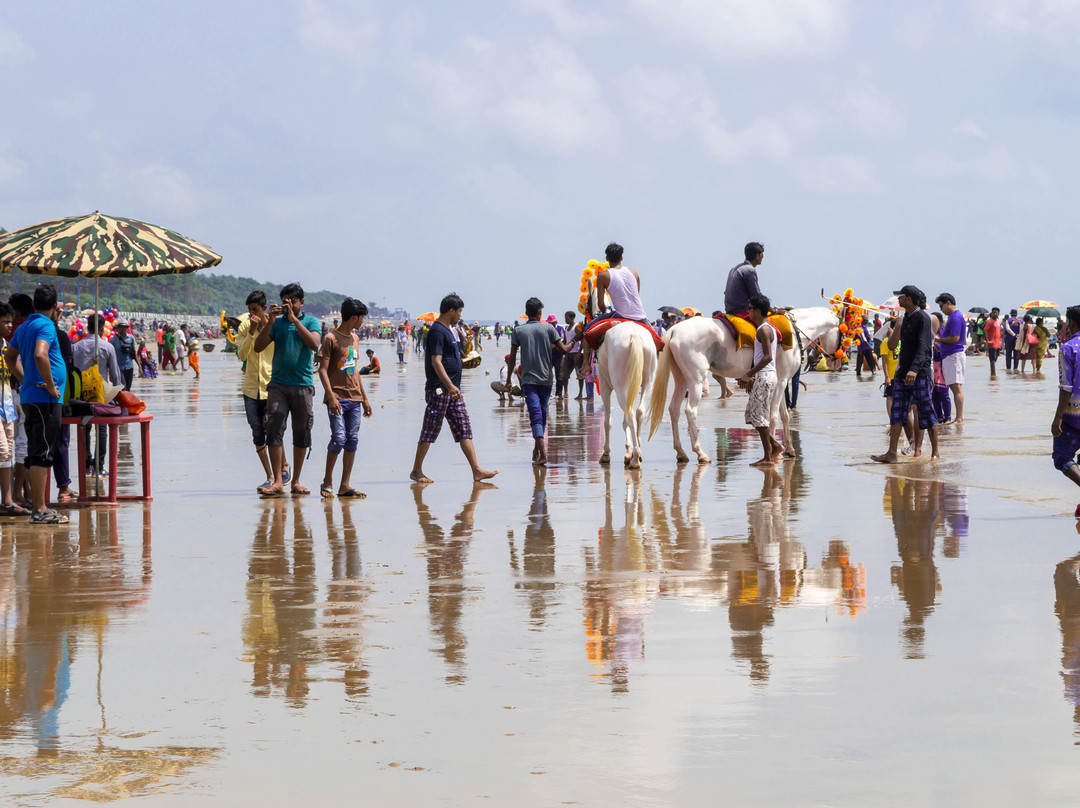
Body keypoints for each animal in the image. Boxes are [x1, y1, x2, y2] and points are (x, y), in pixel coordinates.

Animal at [600, 321, 656, 466]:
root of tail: (634, 336)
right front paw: (628, 451)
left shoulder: (604, 385)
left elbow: (607, 421)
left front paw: (606, 453)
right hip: (648, 379)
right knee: (639, 412)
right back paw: (637, 450)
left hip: (620, 384)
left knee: (630, 414)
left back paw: (635, 458)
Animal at [639, 306, 842, 464]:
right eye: (842, 333)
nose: (835, 362)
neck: (793, 332)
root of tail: (675, 330)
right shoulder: (781, 381)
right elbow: (773, 416)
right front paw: (776, 451)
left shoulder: (781, 382)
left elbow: (784, 416)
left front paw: (790, 449)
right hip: (695, 379)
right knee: (690, 411)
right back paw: (700, 453)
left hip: (681, 378)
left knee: (673, 409)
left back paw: (681, 452)